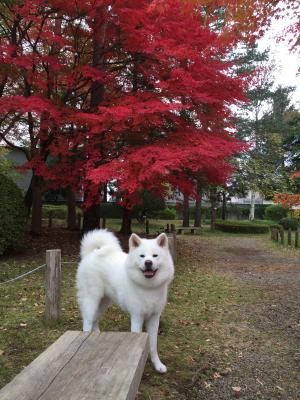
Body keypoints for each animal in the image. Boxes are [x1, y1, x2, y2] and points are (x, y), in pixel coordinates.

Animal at [75, 230, 173, 374]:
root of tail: (91, 254)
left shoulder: (154, 318)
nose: (148, 262)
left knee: (95, 320)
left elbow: (153, 345)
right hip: (91, 301)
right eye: (142, 256)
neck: (148, 287)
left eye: (155, 256)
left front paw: (157, 365)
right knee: (87, 323)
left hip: (103, 303)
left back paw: (97, 335)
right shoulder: (137, 317)